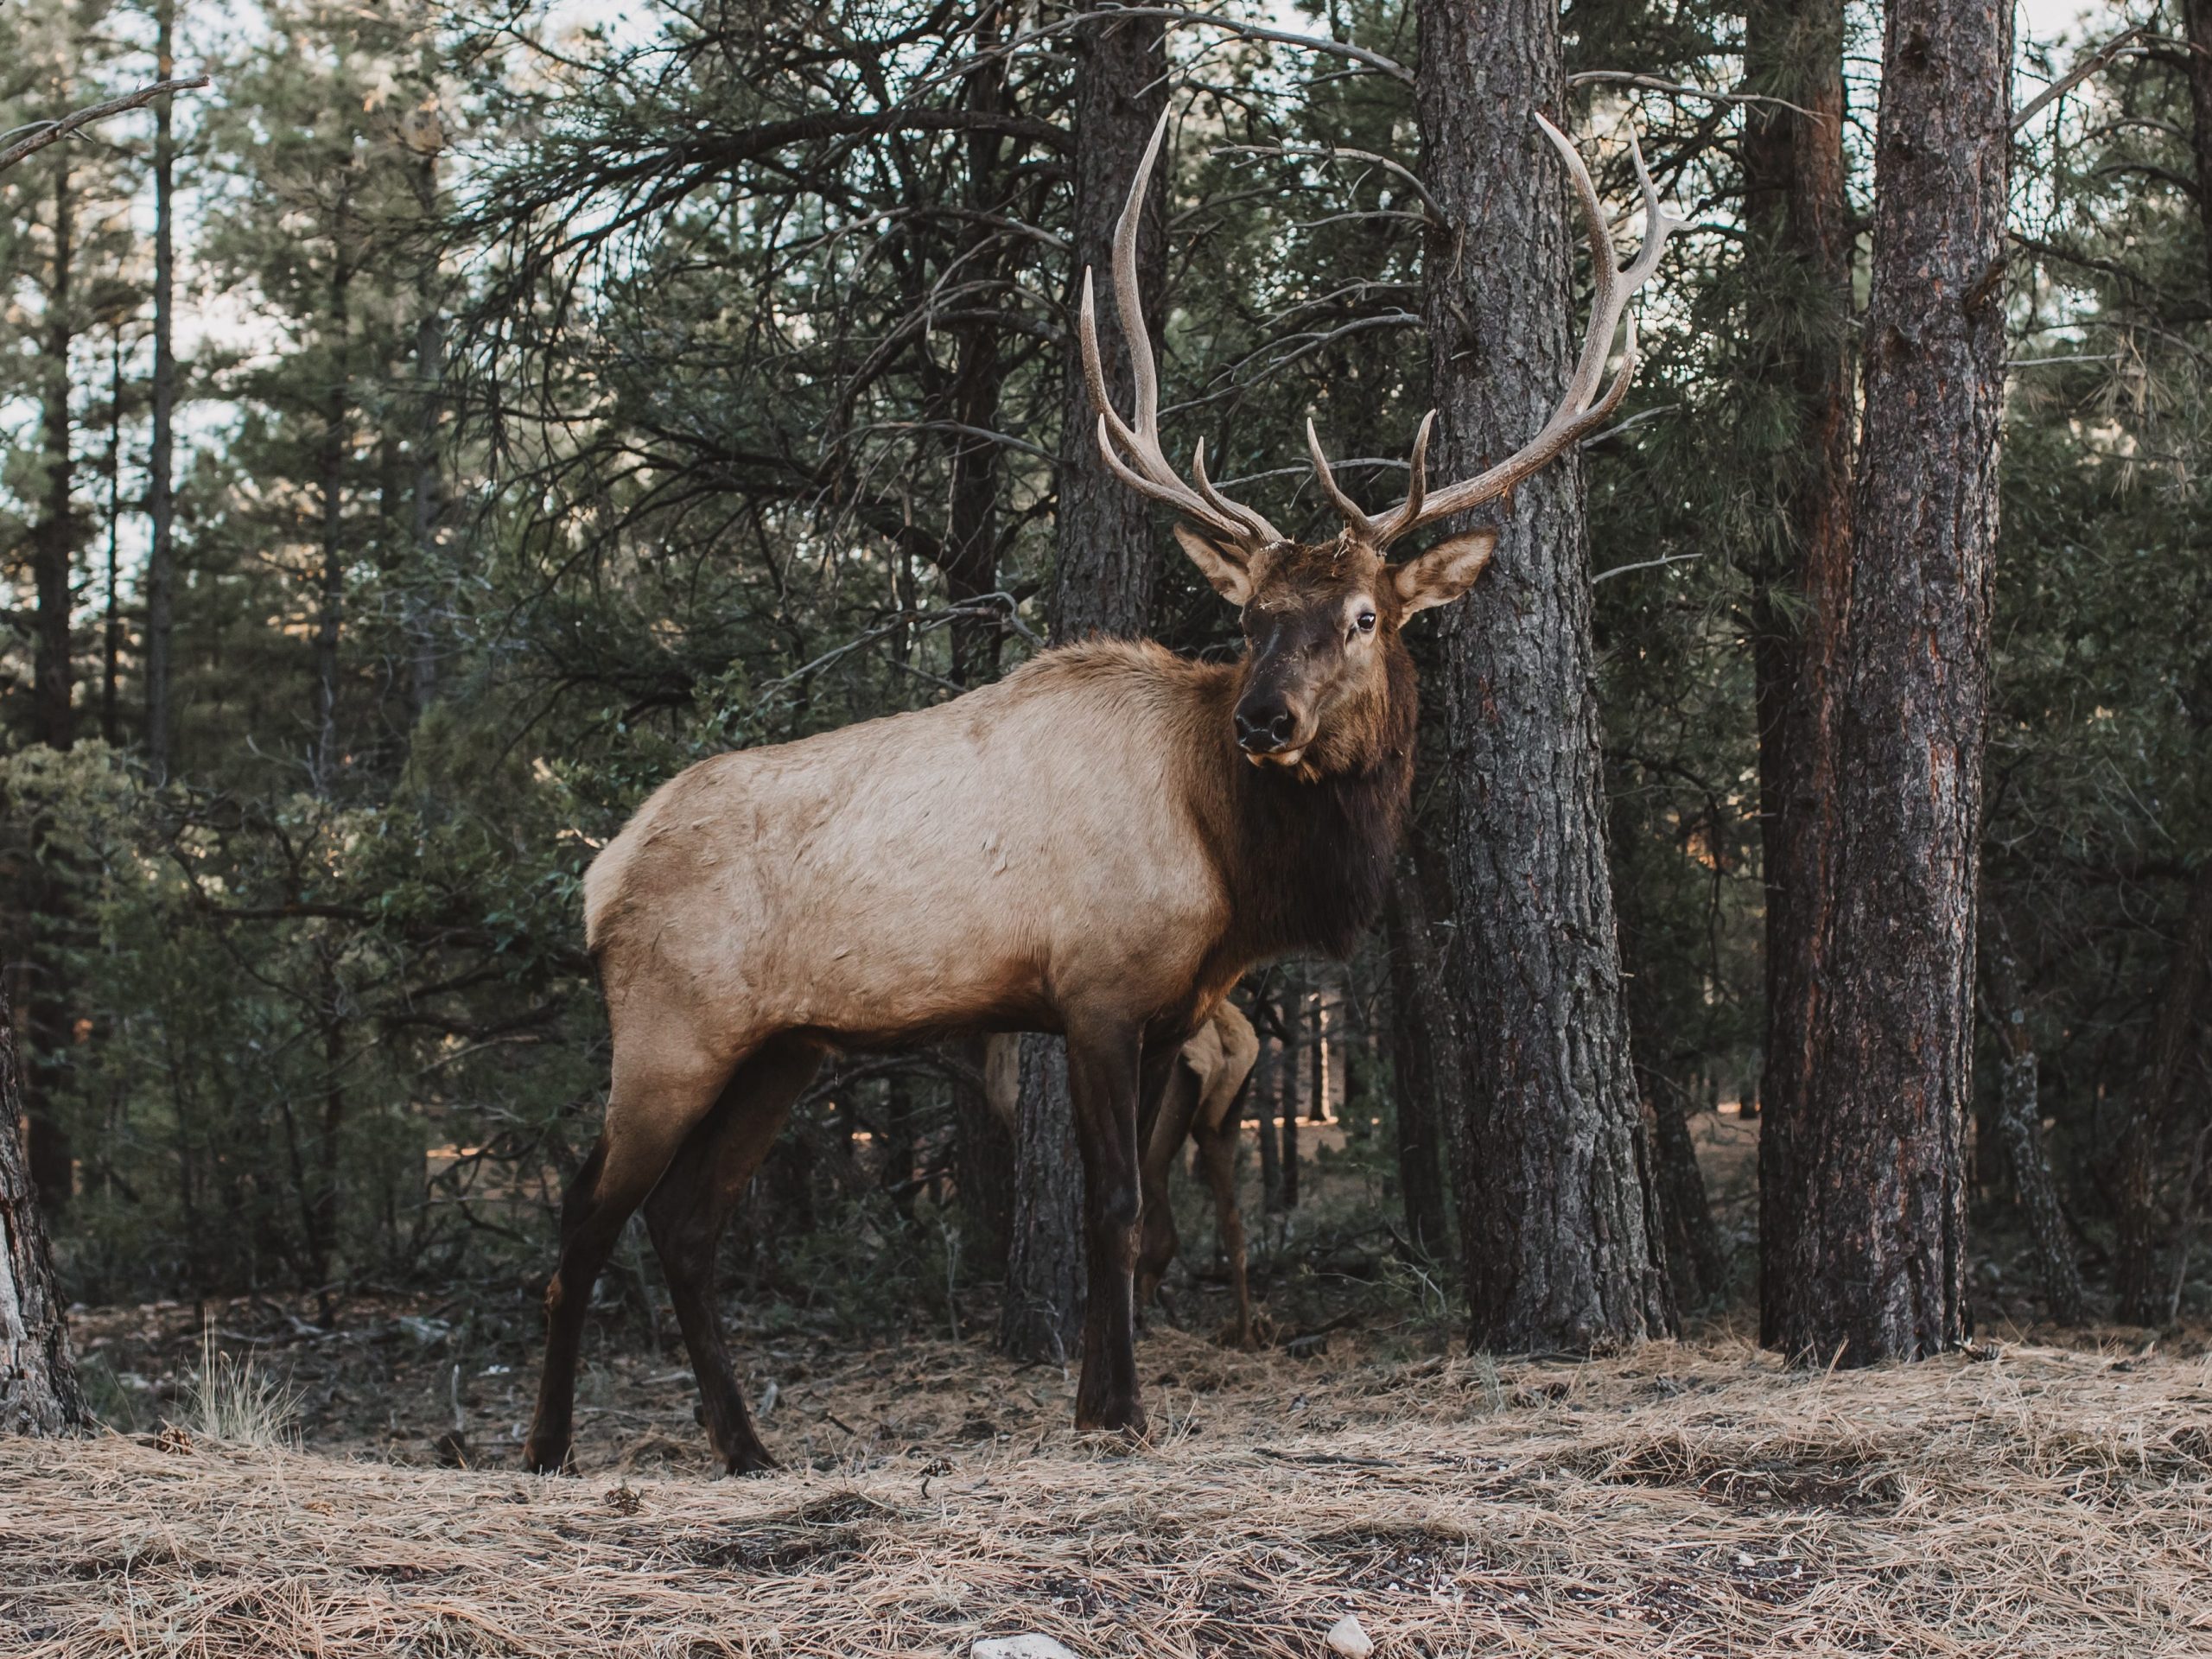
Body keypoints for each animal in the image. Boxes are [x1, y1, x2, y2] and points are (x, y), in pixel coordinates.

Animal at [531, 111, 1672, 1478]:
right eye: (1249, 617)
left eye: (1360, 616)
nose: (1263, 719)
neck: (1235, 868)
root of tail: (599, 875)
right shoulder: (1096, 989)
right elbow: (1117, 1205)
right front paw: (1117, 1408)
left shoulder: (1169, 1007)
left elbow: (1133, 1208)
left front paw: (1095, 1399)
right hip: (669, 1027)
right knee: (585, 1214)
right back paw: (548, 1446)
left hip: (782, 1046)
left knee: (686, 1223)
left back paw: (749, 1447)